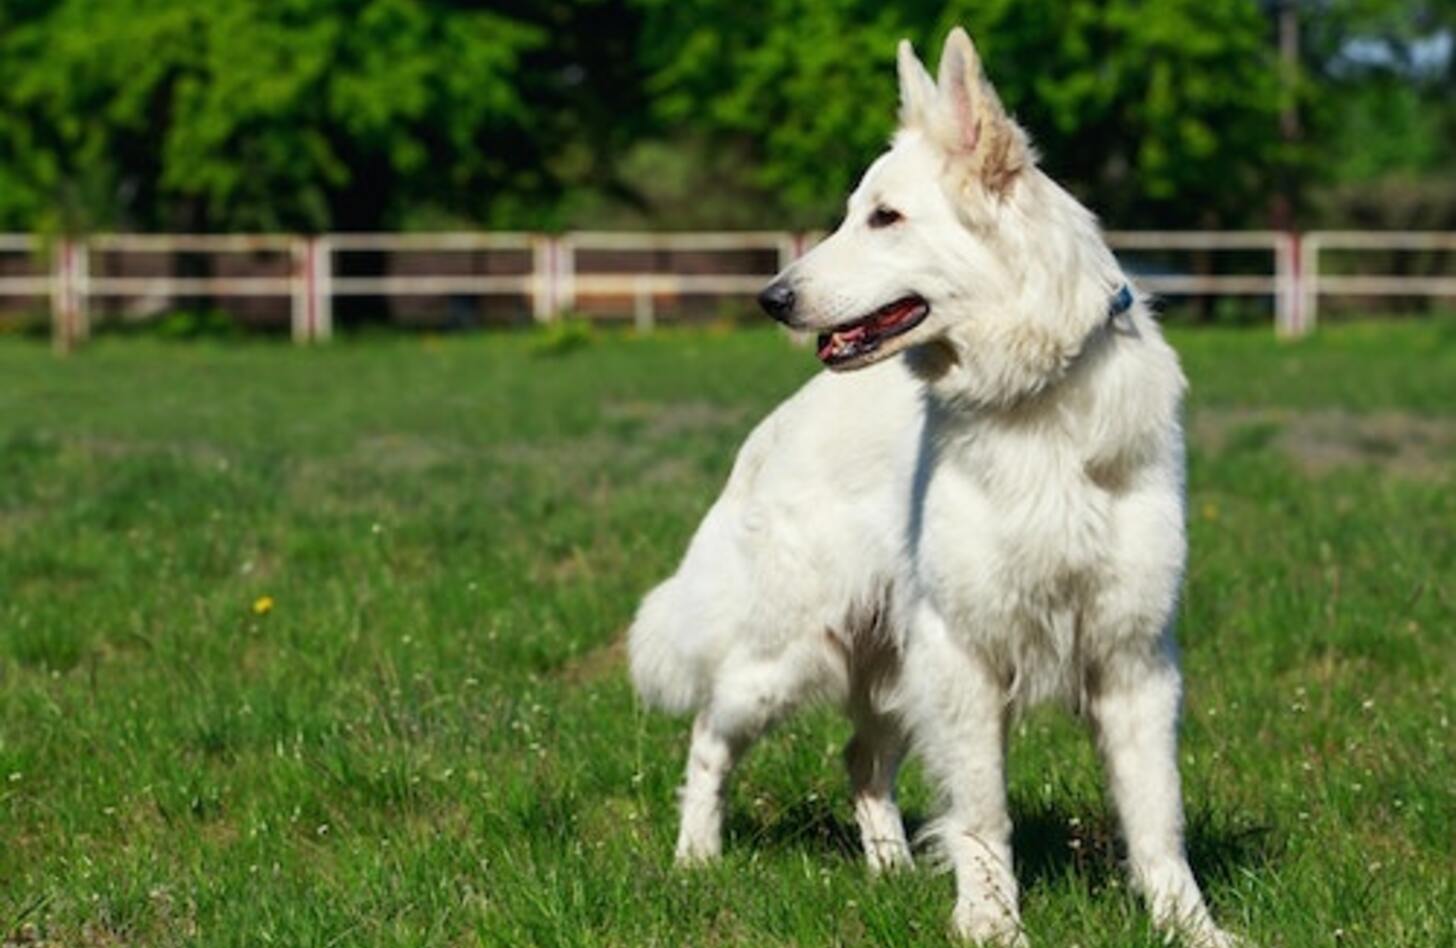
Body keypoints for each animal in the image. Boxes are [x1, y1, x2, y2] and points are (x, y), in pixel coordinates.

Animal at [628, 26, 1240, 943]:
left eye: (885, 218)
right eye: (853, 212)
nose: (771, 297)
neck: (1036, 400)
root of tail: (774, 428)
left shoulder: (1132, 659)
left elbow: (1156, 815)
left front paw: (1187, 924)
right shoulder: (965, 654)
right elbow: (984, 816)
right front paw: (990, 921)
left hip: (890, 664)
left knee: (860, 758)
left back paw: (888, 870)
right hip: (784, 662)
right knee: (708, 738)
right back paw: (696, 859)